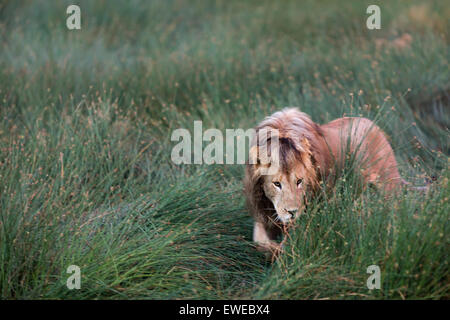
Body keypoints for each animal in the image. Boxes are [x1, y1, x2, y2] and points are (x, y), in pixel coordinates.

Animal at [246, 109, 414, 256]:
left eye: (299, 181)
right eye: (277, 184)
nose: (292, 212)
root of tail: (374, 125)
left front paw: (281, 250)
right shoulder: (261, 210)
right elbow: (259, 241)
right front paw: (272, 249)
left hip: (389, 185)